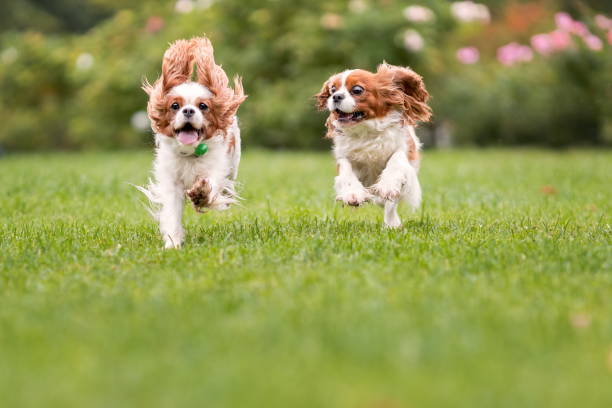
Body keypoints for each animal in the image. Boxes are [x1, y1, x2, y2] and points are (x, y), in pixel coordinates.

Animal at [139, 37, 246, 249]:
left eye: (203, 106)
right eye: (175, 105)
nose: (188, 110)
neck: (189, 154)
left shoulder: (216, 168)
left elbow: (211, 186)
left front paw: (201, 194)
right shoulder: (171, 182)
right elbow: (172, 213)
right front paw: (173, 244)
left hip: (233, 165)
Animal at [318, 62, 432, 228]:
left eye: (357, 90)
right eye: (332, 89)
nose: (336, 96)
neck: (366, 131)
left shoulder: (404, 150)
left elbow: (396, 160)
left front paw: (387, 185)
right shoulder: (343, 156)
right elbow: (346, 170)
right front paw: (353, 194)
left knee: (389, 205)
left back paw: (392, 224)